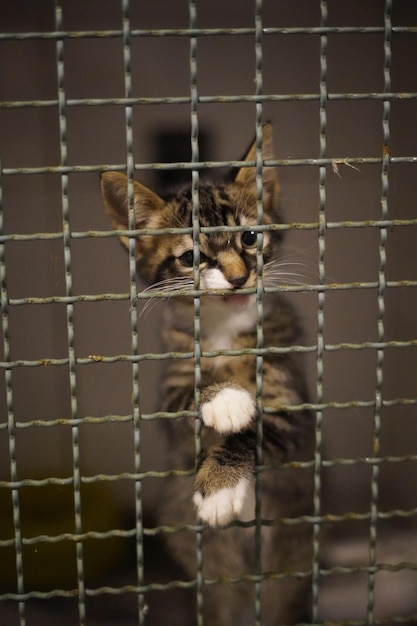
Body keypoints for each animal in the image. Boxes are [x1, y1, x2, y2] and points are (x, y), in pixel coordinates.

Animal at [101, 123, 314, 624]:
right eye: (190, 257)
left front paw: (219, 487)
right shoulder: (171, 380)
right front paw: (226, 398)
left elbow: (262, 430)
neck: (224, 331)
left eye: (250, 237)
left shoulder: (293, 396)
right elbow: (184, 399)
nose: (237, 278)